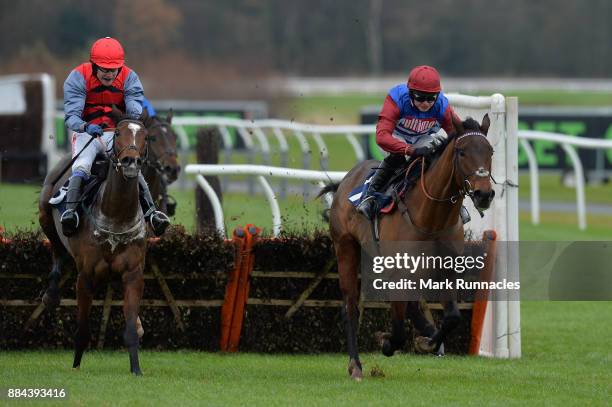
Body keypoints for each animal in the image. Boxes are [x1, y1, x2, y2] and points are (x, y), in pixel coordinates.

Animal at [38, 111, 151, 376]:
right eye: (118, 133)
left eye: (145, 135)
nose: (131, 162)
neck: (116, 215)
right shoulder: (86, 275)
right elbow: (82, 328)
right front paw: (76, 365)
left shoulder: (133, 273)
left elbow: (130, 329)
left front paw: (136, 369)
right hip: (45, 213)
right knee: (57, 251)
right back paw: (51, 294)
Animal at [322, 115, 494, 382]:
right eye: (462, 151)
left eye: (490, 151)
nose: (483, 194)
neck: (432, 218)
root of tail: (346, 180)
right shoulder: (398, 271)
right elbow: (398, 330)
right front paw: (386, 341)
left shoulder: (446, 269)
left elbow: (453, 317)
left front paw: (428, 341)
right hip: (346, 247)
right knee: (350, 307)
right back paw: (355, 366)